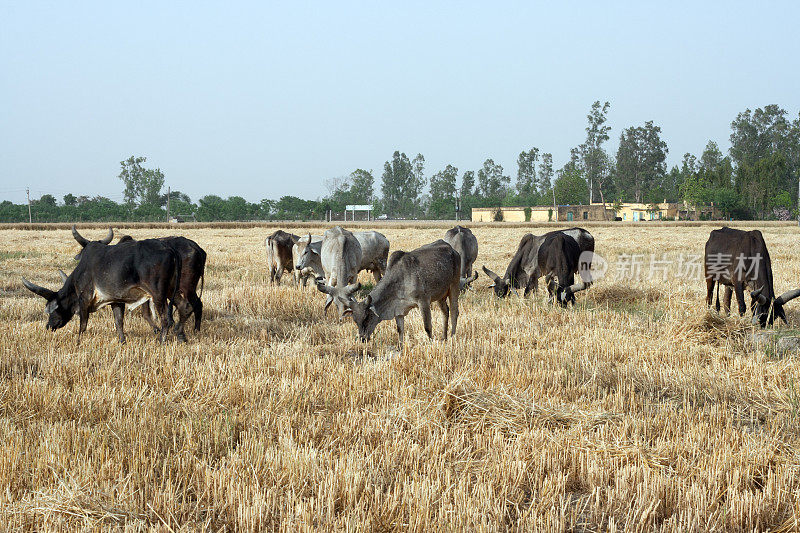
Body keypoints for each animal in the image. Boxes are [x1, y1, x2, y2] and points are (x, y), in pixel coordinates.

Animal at [22, 236, 186, 340]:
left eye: (53, 309)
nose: (49, 326)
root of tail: (169, 249)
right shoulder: (116, 300)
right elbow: (119, 322)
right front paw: (122, 341)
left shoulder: (84, 299)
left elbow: (83, 325)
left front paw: (78, 342)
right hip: (172, 290)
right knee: (184, 306)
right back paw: (181, 336)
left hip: (158, 294)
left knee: (165, 319)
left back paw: (162, 341)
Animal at [318, 240, 460, 344]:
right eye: (355, 320)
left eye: (367, 317)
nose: (362, 339)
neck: (400, 278)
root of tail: (452, 250)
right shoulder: (398, 310)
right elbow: (400, 330)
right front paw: (401, 347)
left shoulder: (423, 301)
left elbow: (427, 327)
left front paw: (431, 344)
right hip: (441, 295)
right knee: (445, 312)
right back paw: (444, 337)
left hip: (454, 286)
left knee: (454, 312)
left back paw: (452, 337)